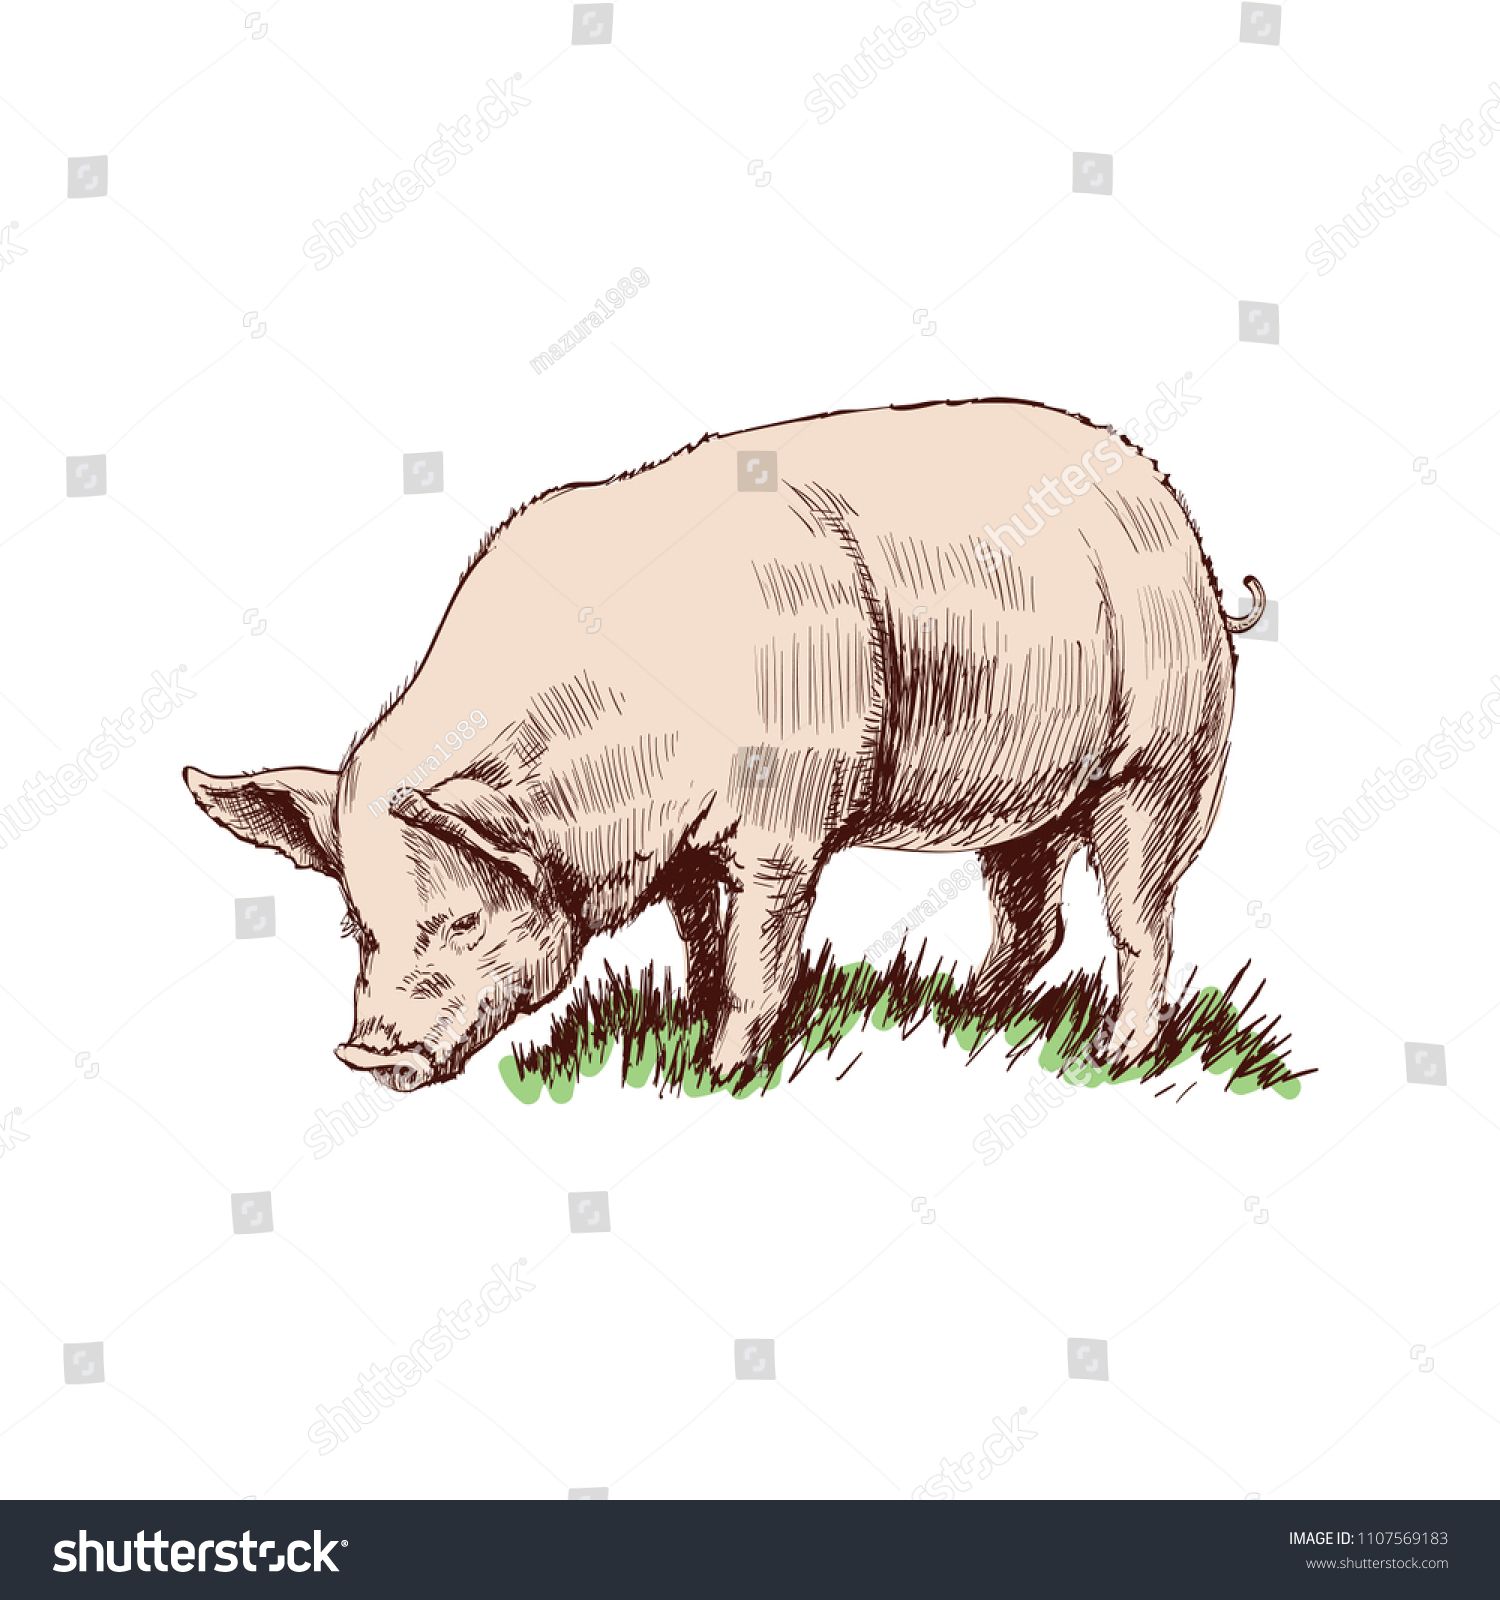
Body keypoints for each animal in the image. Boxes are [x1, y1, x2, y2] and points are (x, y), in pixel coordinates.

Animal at [185, 399, 1263, 1092]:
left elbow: (756, 959)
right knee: (1033, 910)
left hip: (1164, 757)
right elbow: (703, 942)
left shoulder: (785, 826)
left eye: (461, 919)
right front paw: (690, 1047)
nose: (367, 1055)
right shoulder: (687, 849)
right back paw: (966, 1005)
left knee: (1141, 914)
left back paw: (1112, 1057)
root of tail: (1183, 529)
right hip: (1026, 796)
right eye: (358, 926)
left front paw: (722, 1075)